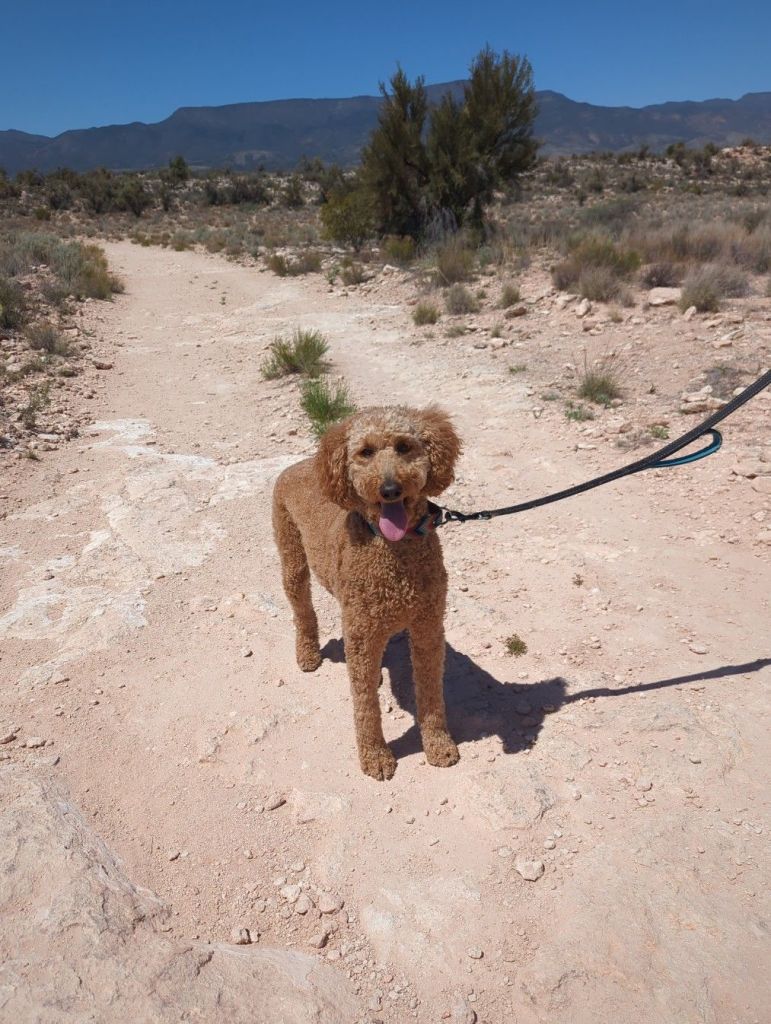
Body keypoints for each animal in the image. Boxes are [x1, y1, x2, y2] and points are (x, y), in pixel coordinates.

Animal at [272, 405, 462, 780]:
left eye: (404, 446)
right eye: (365, 452)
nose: (389, 489)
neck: (394, 547)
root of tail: (300, 464)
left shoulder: (428, 628)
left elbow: (431, 693)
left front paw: (438, 745)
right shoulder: (361, 633)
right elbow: (365, 707)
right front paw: (375, 756)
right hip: (292, 559)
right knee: (303, 611)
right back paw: (307, 654)